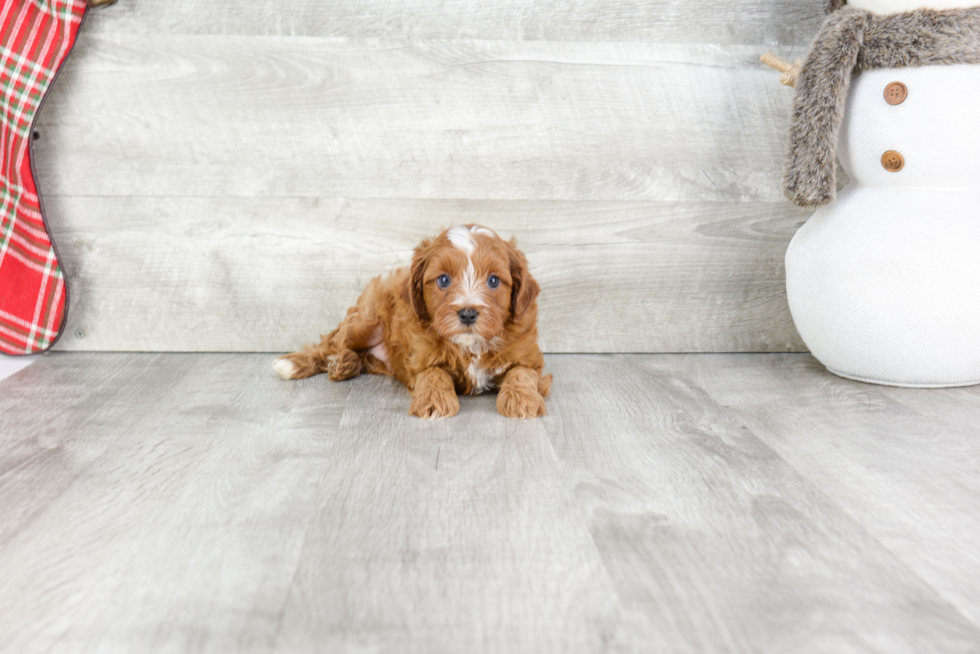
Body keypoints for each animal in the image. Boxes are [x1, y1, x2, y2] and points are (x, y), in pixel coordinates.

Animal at [274, 227, 552, 420]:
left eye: (494, 281)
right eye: (443, 280)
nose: (468, 314)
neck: (470, 345)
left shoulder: (528, 356)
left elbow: (521, 372)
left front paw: (522, 400)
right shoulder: (421, 357)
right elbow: (433, 373)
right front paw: (434, 401)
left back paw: (344, 364)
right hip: (365, 322)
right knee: (329, 343)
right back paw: (296, 363)